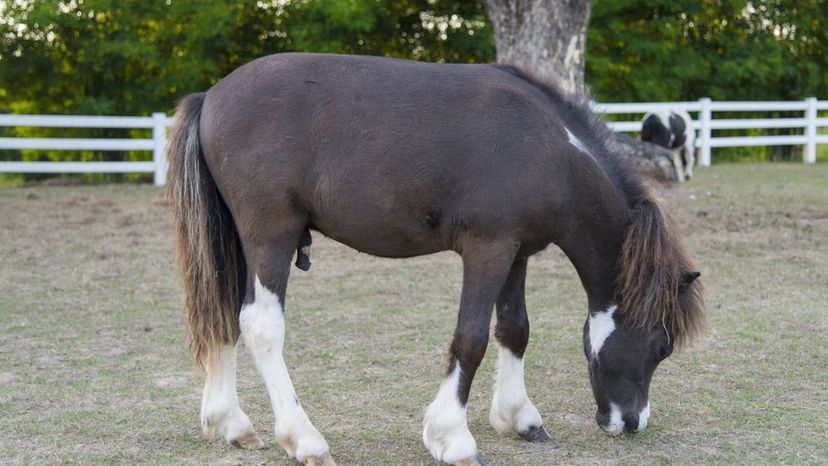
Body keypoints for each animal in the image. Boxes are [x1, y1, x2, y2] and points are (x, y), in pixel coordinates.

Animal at [167, 53, 704, 466]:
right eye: (662, 346)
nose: (631, 422)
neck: (546, 147)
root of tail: (211, 96)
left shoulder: (516, 253)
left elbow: (514, 329)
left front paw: (519, 417)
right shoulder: (487, 250)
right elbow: (471, 339)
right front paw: (452, 438)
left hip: (236, 242)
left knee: (223, 316)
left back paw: (231, 423)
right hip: (270, 239)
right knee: (261, 325)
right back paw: (305, 440)